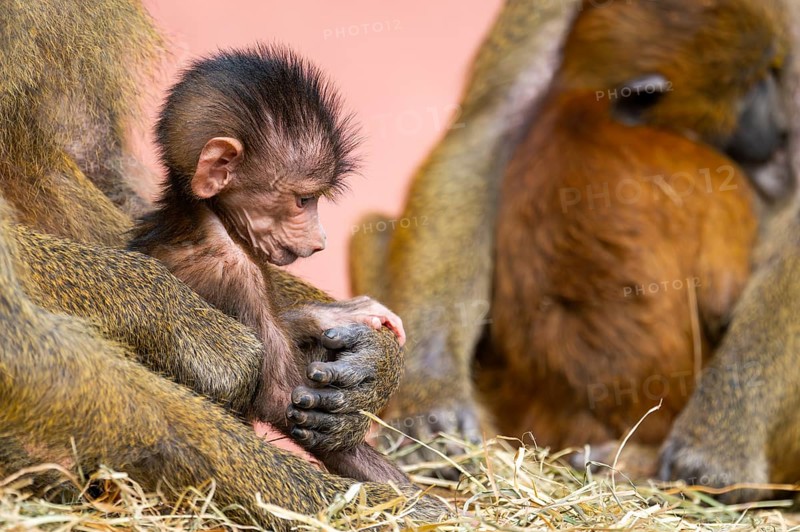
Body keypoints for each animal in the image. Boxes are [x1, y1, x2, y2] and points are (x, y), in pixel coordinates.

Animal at [128, 45, 409, 484]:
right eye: (303, 200)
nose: (320, 240)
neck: (203, 218)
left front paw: (336, 316)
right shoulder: (235, 272)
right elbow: (285, 400)